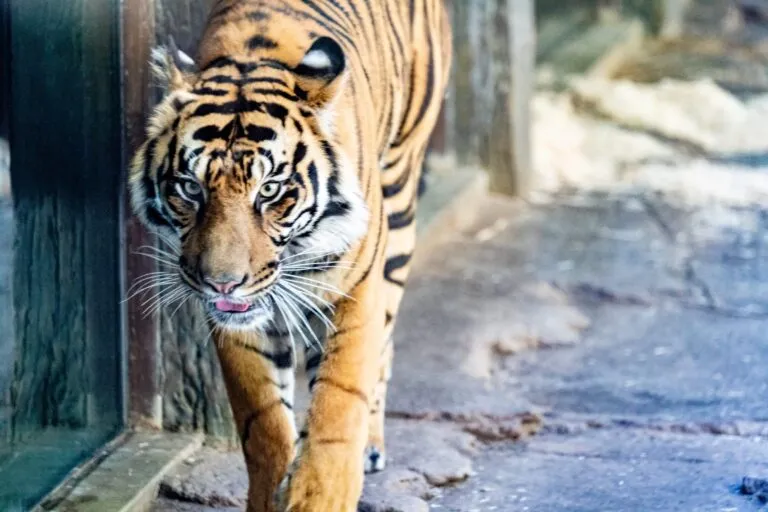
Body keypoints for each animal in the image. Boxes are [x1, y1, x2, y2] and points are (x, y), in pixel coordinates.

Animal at [128, 0, 451, 510]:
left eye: (270, 190)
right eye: (191, 188)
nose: (221, 282)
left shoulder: (354, 288)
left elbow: (338, 408)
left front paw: (321, 493)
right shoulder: (239, 322)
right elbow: (264, 423)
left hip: (401, 193)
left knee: (385, 341)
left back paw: (372, 444)